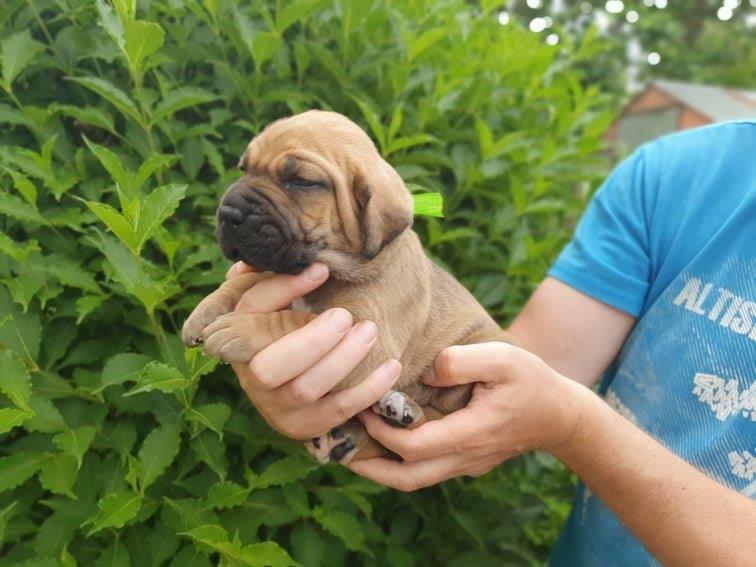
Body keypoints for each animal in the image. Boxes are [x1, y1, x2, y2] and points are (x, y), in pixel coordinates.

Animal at [181, 111, 510, 466]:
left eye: (301, 181)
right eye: (245, 169)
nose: (226, 213)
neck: (333, 267)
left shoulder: (371, 338)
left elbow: (295, 323)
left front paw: (240, 329)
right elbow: (247, 281)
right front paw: (204, 311)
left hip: (470, 351)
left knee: (436, 421)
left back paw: (404, 410)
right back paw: (345, 438)